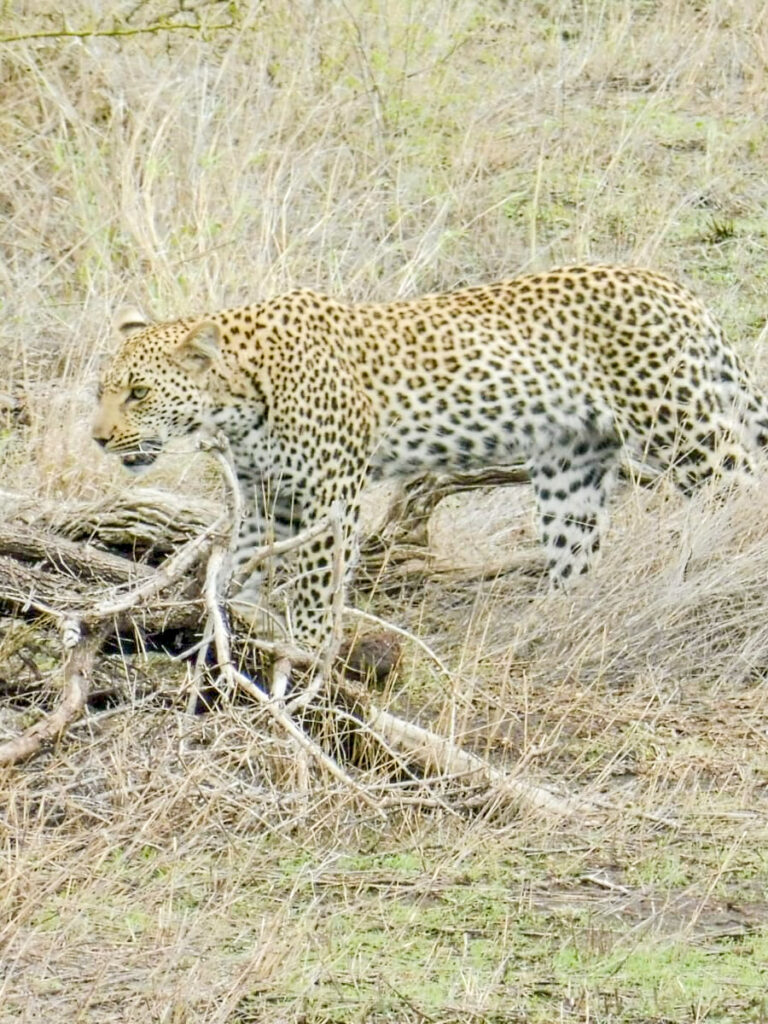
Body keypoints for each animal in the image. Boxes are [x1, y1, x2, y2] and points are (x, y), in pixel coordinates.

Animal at [92, 264, 768, 651]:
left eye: (139, 392)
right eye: (103, 391)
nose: (98, 438)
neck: (237, 397)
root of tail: (677, 290)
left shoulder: (331, 493)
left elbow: (315, 584)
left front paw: (306, 655)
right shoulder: (267, 495)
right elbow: (250, 566)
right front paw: (236, 627)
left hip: (683, 427)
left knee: (741, 492)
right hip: (570, 467)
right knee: (575, 552)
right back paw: (548, 625)